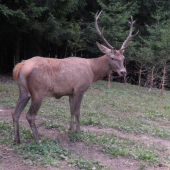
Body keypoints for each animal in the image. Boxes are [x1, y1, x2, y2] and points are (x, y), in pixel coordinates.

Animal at [12, 10, 138, 143]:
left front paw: (70, 129)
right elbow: (77, 111)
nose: (123, 72)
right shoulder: (80, 89)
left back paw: (17, 139)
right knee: (30, 115)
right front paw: (79, 131)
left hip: (23, 90)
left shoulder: (71, 92)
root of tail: (19, 67)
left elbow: (71, 110)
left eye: (123, 58)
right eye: (113, 58)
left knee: (15, 113)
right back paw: (38, 139)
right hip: (38, 91)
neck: (92, 71)